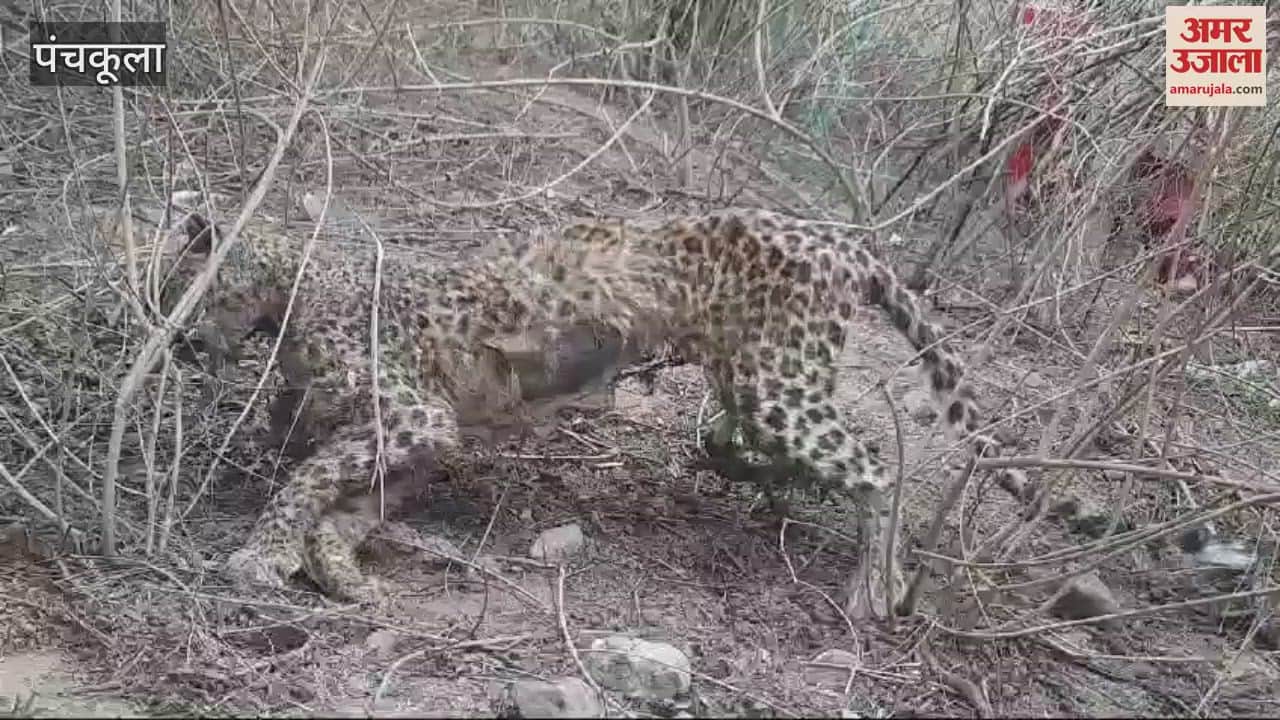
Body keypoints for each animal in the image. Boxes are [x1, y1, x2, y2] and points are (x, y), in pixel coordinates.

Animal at [166, 206, 1009, 620]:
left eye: (179, 282)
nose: (176, 340)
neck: (291, 288)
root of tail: (842, 239)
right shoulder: (425, 435)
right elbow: (345, 499)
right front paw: (343, 574)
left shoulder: (415, 416)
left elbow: (307, 478)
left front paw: (264, 553)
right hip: (761, 379)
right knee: (749, 437)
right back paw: (745, 470)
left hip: (780, 386)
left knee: (878, 469)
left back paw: (878, 588)